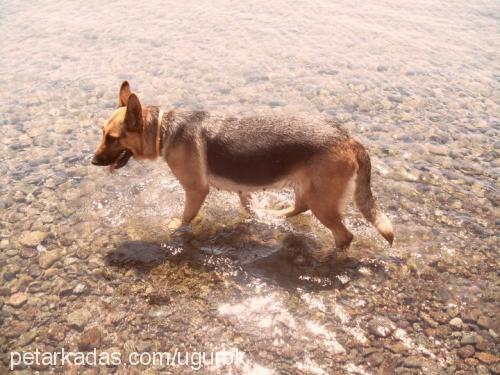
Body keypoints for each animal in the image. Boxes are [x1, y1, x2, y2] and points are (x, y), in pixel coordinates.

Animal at [92, 82, 392, 258]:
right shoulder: (242, 187)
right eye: (102, 134)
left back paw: (330, 256)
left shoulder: (196, 190)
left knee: (343, 235)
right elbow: (247, 204)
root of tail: (349, 139)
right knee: (300, 207)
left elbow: (186, 217)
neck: (163, 129)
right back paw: (275, 215)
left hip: (322, 201)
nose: (93, 162)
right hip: (307, 189)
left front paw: (174, 226)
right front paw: (254, 215)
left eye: (112, 139)